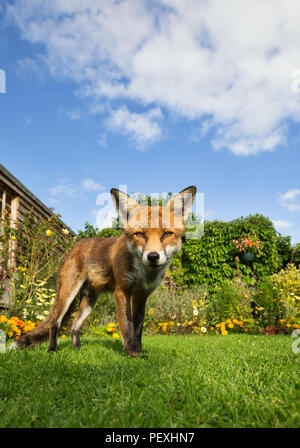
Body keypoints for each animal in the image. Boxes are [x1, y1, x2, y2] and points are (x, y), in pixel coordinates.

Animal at [12, 186, 197, 356]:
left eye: (167, 234)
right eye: (140, 234)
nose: (152, 256)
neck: (143, 274)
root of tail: (74, 247)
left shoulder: (141, 296)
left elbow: (138, 328)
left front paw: (139, 350)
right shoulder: (122, 292)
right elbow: (127, 327)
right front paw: (132, 353)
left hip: (89, 301)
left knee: (73, 325)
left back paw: (77, 349)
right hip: (67, 295)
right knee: (55, 323)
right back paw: (52, 350)